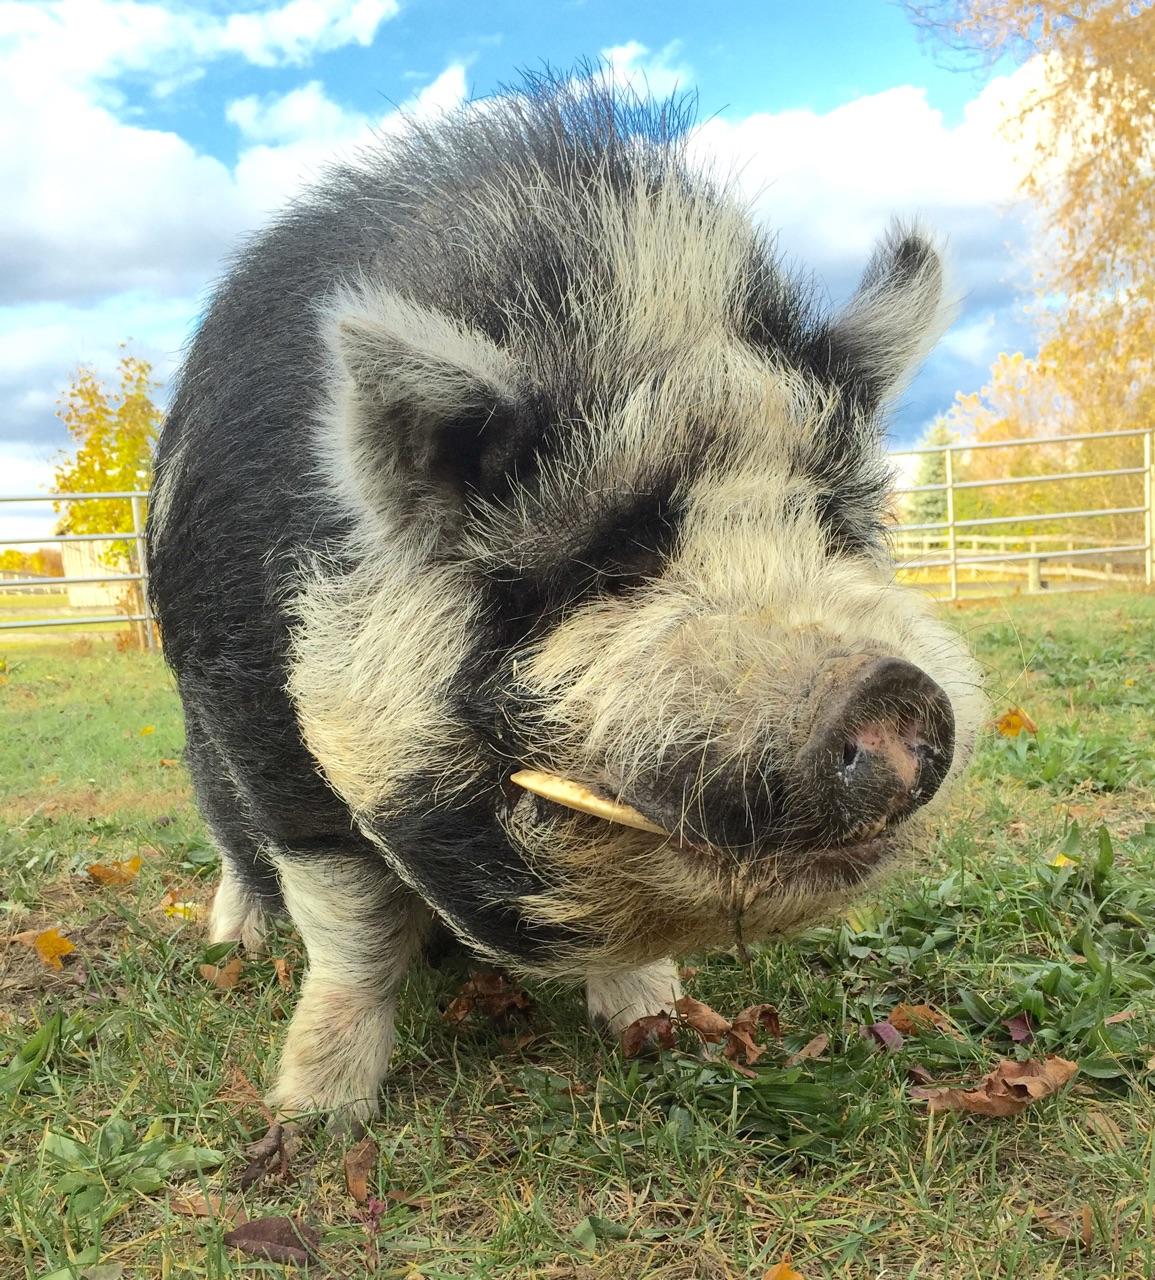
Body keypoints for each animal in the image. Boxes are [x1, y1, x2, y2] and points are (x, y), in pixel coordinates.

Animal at [146, 69, 984, 1126]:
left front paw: (658, 1025)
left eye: (830, 526)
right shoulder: (272, 730)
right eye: (612, 564)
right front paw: (310, 1117)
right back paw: (235, 942)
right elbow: (351, 932)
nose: (889, 694)